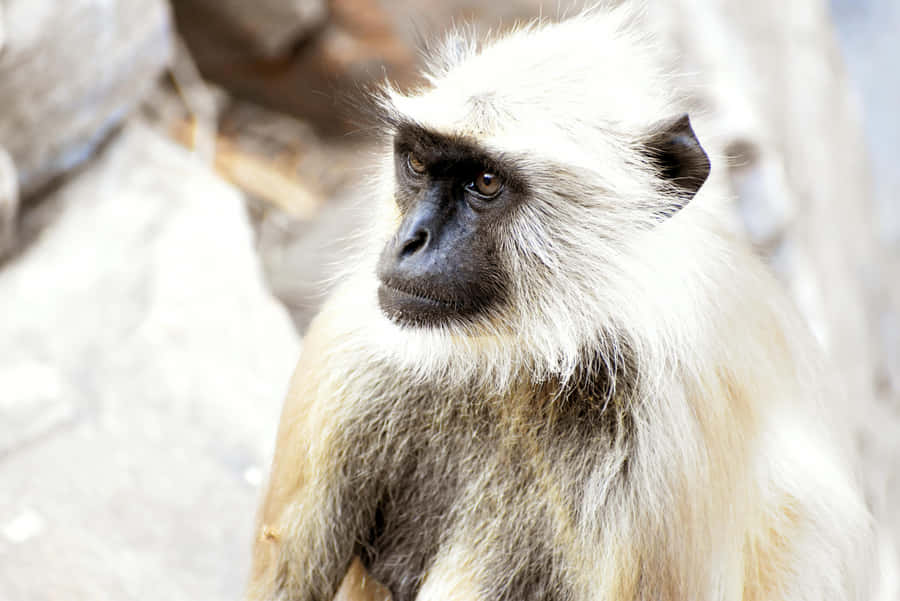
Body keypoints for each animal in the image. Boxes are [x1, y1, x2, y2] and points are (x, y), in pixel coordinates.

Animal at [248, 7, 873, 601]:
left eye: (486, 182)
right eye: (418, 164)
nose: (410, 241)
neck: (522, 364)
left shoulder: (666, 451)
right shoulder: (357, 344)